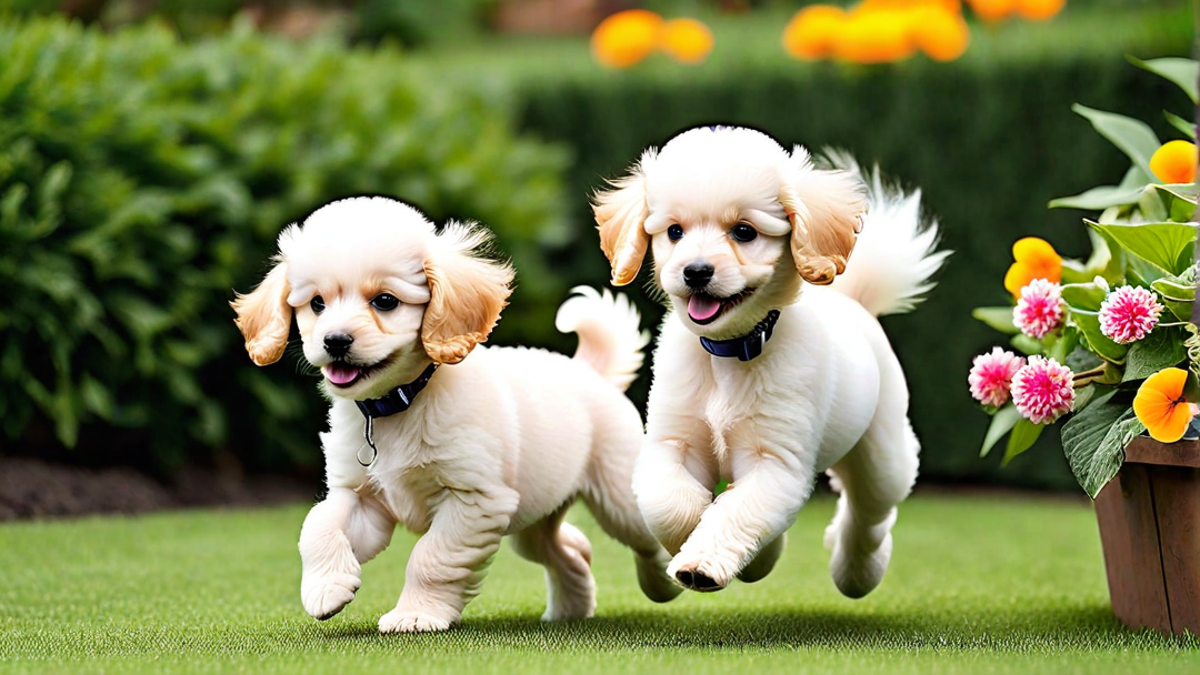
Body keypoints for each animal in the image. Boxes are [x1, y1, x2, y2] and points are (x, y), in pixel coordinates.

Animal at [230, 194, 681, 629]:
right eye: (317, 304)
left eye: (385, 301)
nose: (335, 340)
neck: (399, 404)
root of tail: (589, 370)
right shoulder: (362, 496)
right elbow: (318, 524)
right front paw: (326, 588)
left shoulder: (474, 500)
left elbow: (431, 558)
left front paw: (415, 615)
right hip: (533, 513)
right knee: (571, 549)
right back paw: (570, 609)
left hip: (617, 497)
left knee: (650, 533)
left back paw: (665, 580)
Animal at [590, 124, 945, 593]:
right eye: (674, 232)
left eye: (744, 231)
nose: (696, 271)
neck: (729, 350)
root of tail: (856, 304)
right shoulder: (673, 442)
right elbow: (673, 506)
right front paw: (699, 542)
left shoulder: (776, 459)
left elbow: (736, 510)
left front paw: (701, 562)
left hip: (882, 454)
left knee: (870, 514)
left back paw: (856, 568)